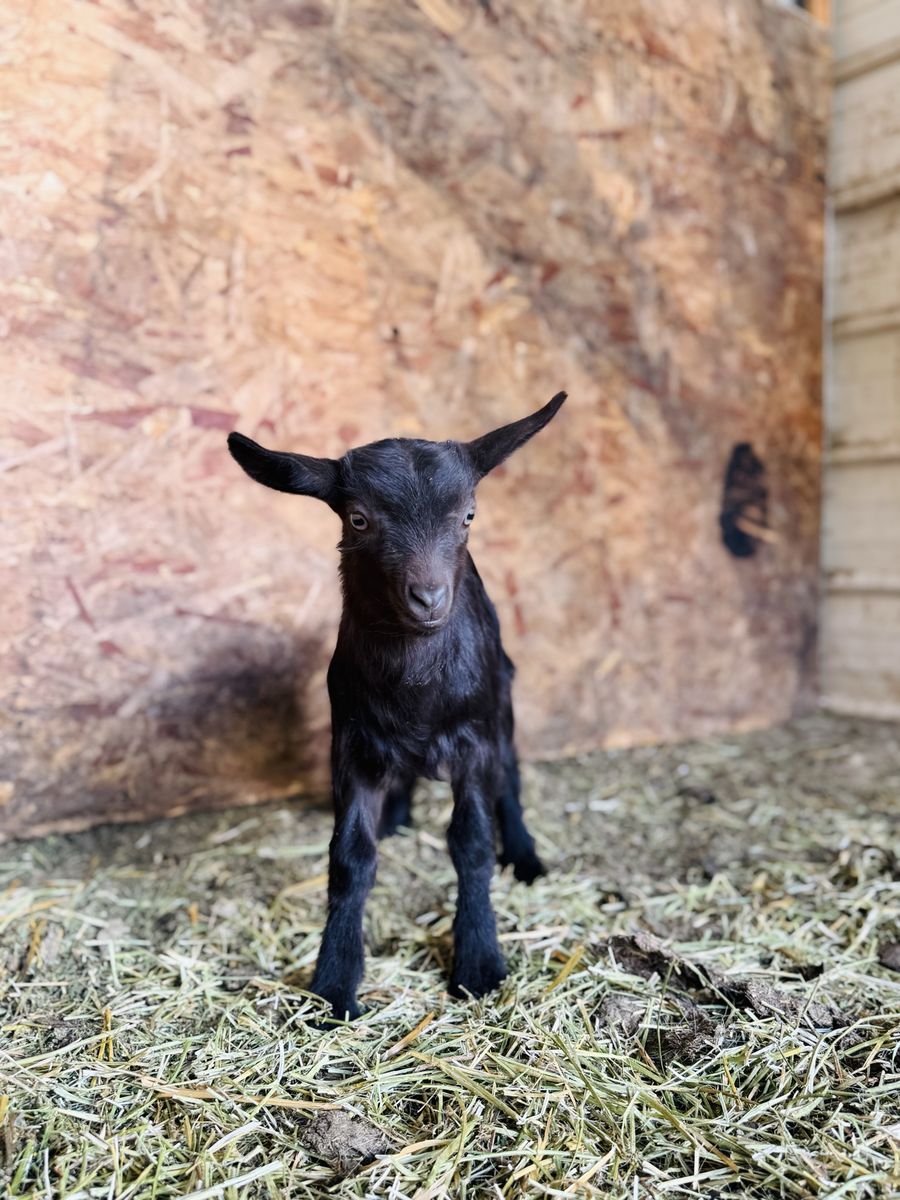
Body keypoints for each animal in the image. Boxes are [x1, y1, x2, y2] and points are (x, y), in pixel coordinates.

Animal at [227, 392, 566, 1020]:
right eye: (359, 519)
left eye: (468, 516)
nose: (428, 598)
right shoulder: (352, 742)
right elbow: (348, 857)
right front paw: (334, 981)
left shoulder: (473, 736)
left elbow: (471, 842)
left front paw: (479, 964)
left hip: (502, 700)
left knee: (510, 773)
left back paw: (525, 855)